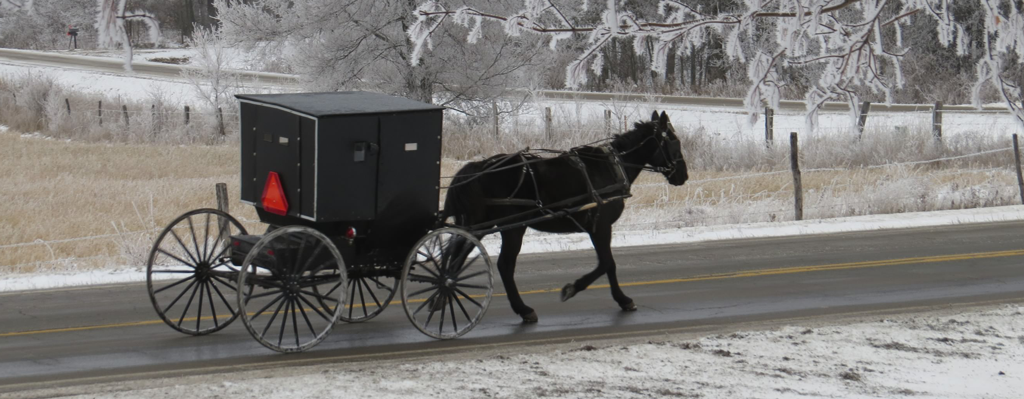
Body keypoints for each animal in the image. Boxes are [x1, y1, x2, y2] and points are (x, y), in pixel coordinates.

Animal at [440, 110, 688, 323]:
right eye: (674, 141)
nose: (683, 175)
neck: (612, 168)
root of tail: (480, 167)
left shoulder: (596, 227)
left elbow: (607, 263)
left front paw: (619, 298)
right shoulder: (601, 225)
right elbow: (607, 263)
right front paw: (584, 290)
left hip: (478, 225)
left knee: (455, 258)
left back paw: (443, 296)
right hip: (512, 227)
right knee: (504, 265)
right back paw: (523, 309)